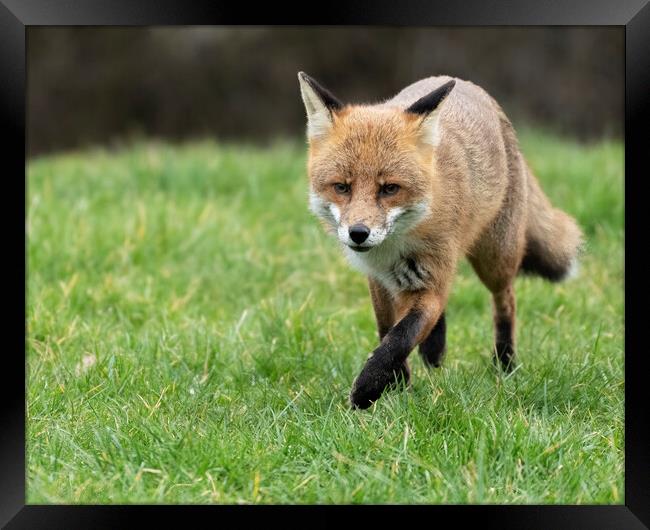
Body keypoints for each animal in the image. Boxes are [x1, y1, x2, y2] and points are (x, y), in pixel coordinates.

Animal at [296, 71, 580, 408]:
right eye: (341, 187)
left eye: (390, 188)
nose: (358, 233)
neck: (392, 249)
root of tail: (466, 84)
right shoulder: (380, 281)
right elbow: (388, 332)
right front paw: (398, 386)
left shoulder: (431, 278)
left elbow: (400, 336)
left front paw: (368, 390)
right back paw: (435, 354)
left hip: (495, 259)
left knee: (505, 301)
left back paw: (505, 364)